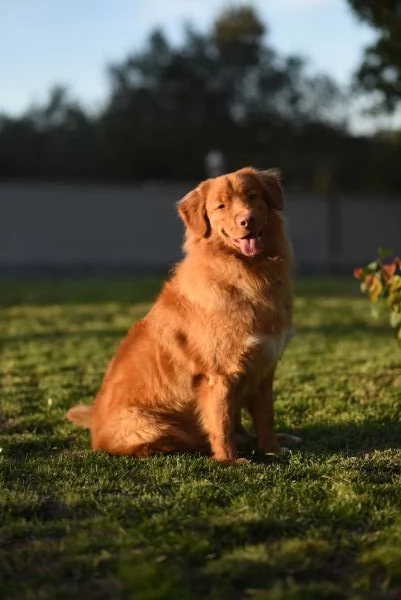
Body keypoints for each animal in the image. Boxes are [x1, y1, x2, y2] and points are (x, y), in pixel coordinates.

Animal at [65, 169, 298, 464]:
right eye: (221, 206)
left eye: (252, 196)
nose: (247, 220)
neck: (247, 274)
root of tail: (95, 423)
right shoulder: (220, 375)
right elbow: (221, 424)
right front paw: (229, 461)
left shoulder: (264, 369)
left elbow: (266, 417)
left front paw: (272, 449)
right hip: (153, 423)